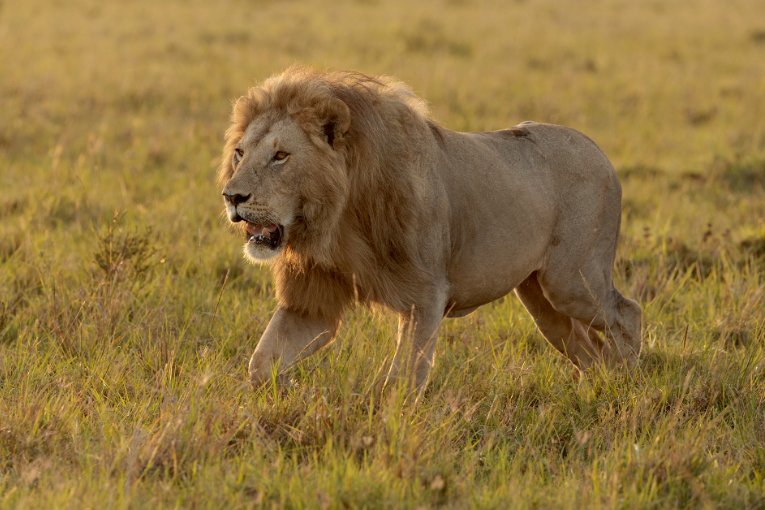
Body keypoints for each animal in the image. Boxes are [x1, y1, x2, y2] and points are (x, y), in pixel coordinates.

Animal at [218, 67, 642, 392]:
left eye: (280, 156)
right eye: (240, 153)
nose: (231, 196)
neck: (337, 218)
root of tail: (597, 149)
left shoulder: (424, 297)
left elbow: (401, 381)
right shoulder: (313, 301)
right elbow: (261, 362)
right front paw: (280, 395)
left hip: (571, 281)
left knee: (628, 312)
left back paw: (626, 383)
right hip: (540, 298)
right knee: (587, 348)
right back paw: (597, 390)